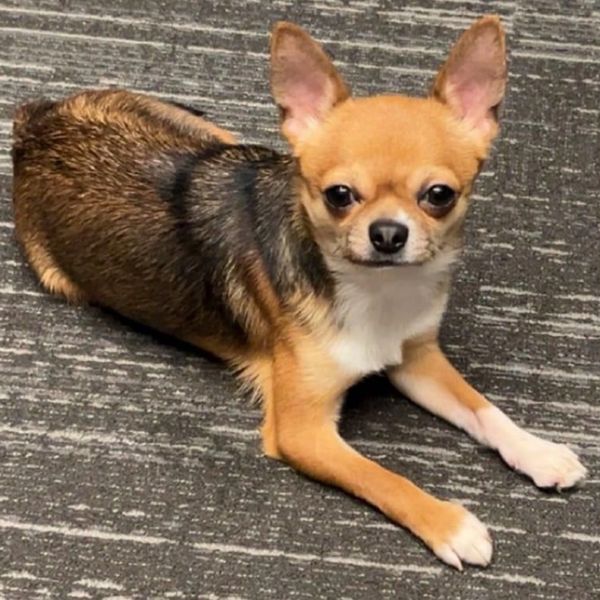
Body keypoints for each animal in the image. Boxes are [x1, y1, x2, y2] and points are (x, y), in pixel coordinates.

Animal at [11, 16, 587, 569]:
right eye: (339, 195)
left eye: (439, 195)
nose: (388, 233)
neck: (374, 291)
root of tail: (33, 123)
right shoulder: (303, 432)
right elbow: (383, 477)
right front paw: (450, 524)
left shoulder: (417, 359)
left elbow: (484, 410)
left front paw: (537, 450)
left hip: (217, 135)